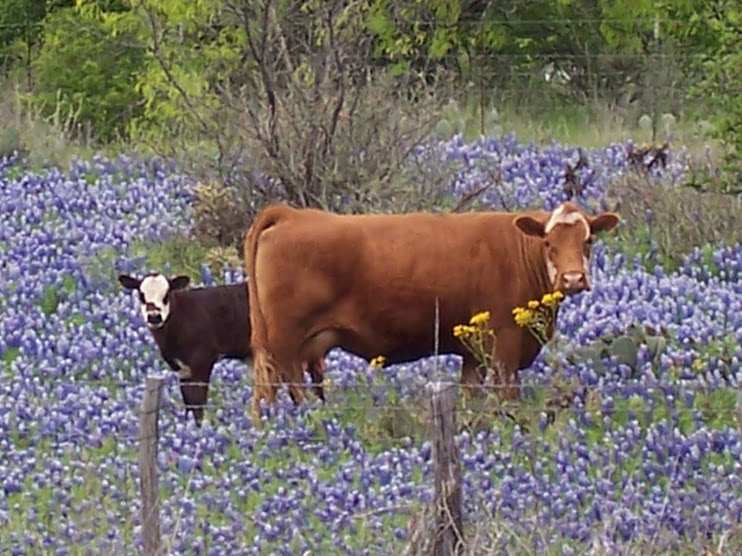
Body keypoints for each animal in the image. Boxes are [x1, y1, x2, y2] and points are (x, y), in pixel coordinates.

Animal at [244, 200, 620, 412]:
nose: (573, 279)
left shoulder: (472, 353)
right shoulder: (505, 347)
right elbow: (507, 396)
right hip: (284, 342)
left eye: (588, 240)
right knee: (283, 389)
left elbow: (471, 394)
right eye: (548, 242)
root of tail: (290, 214)